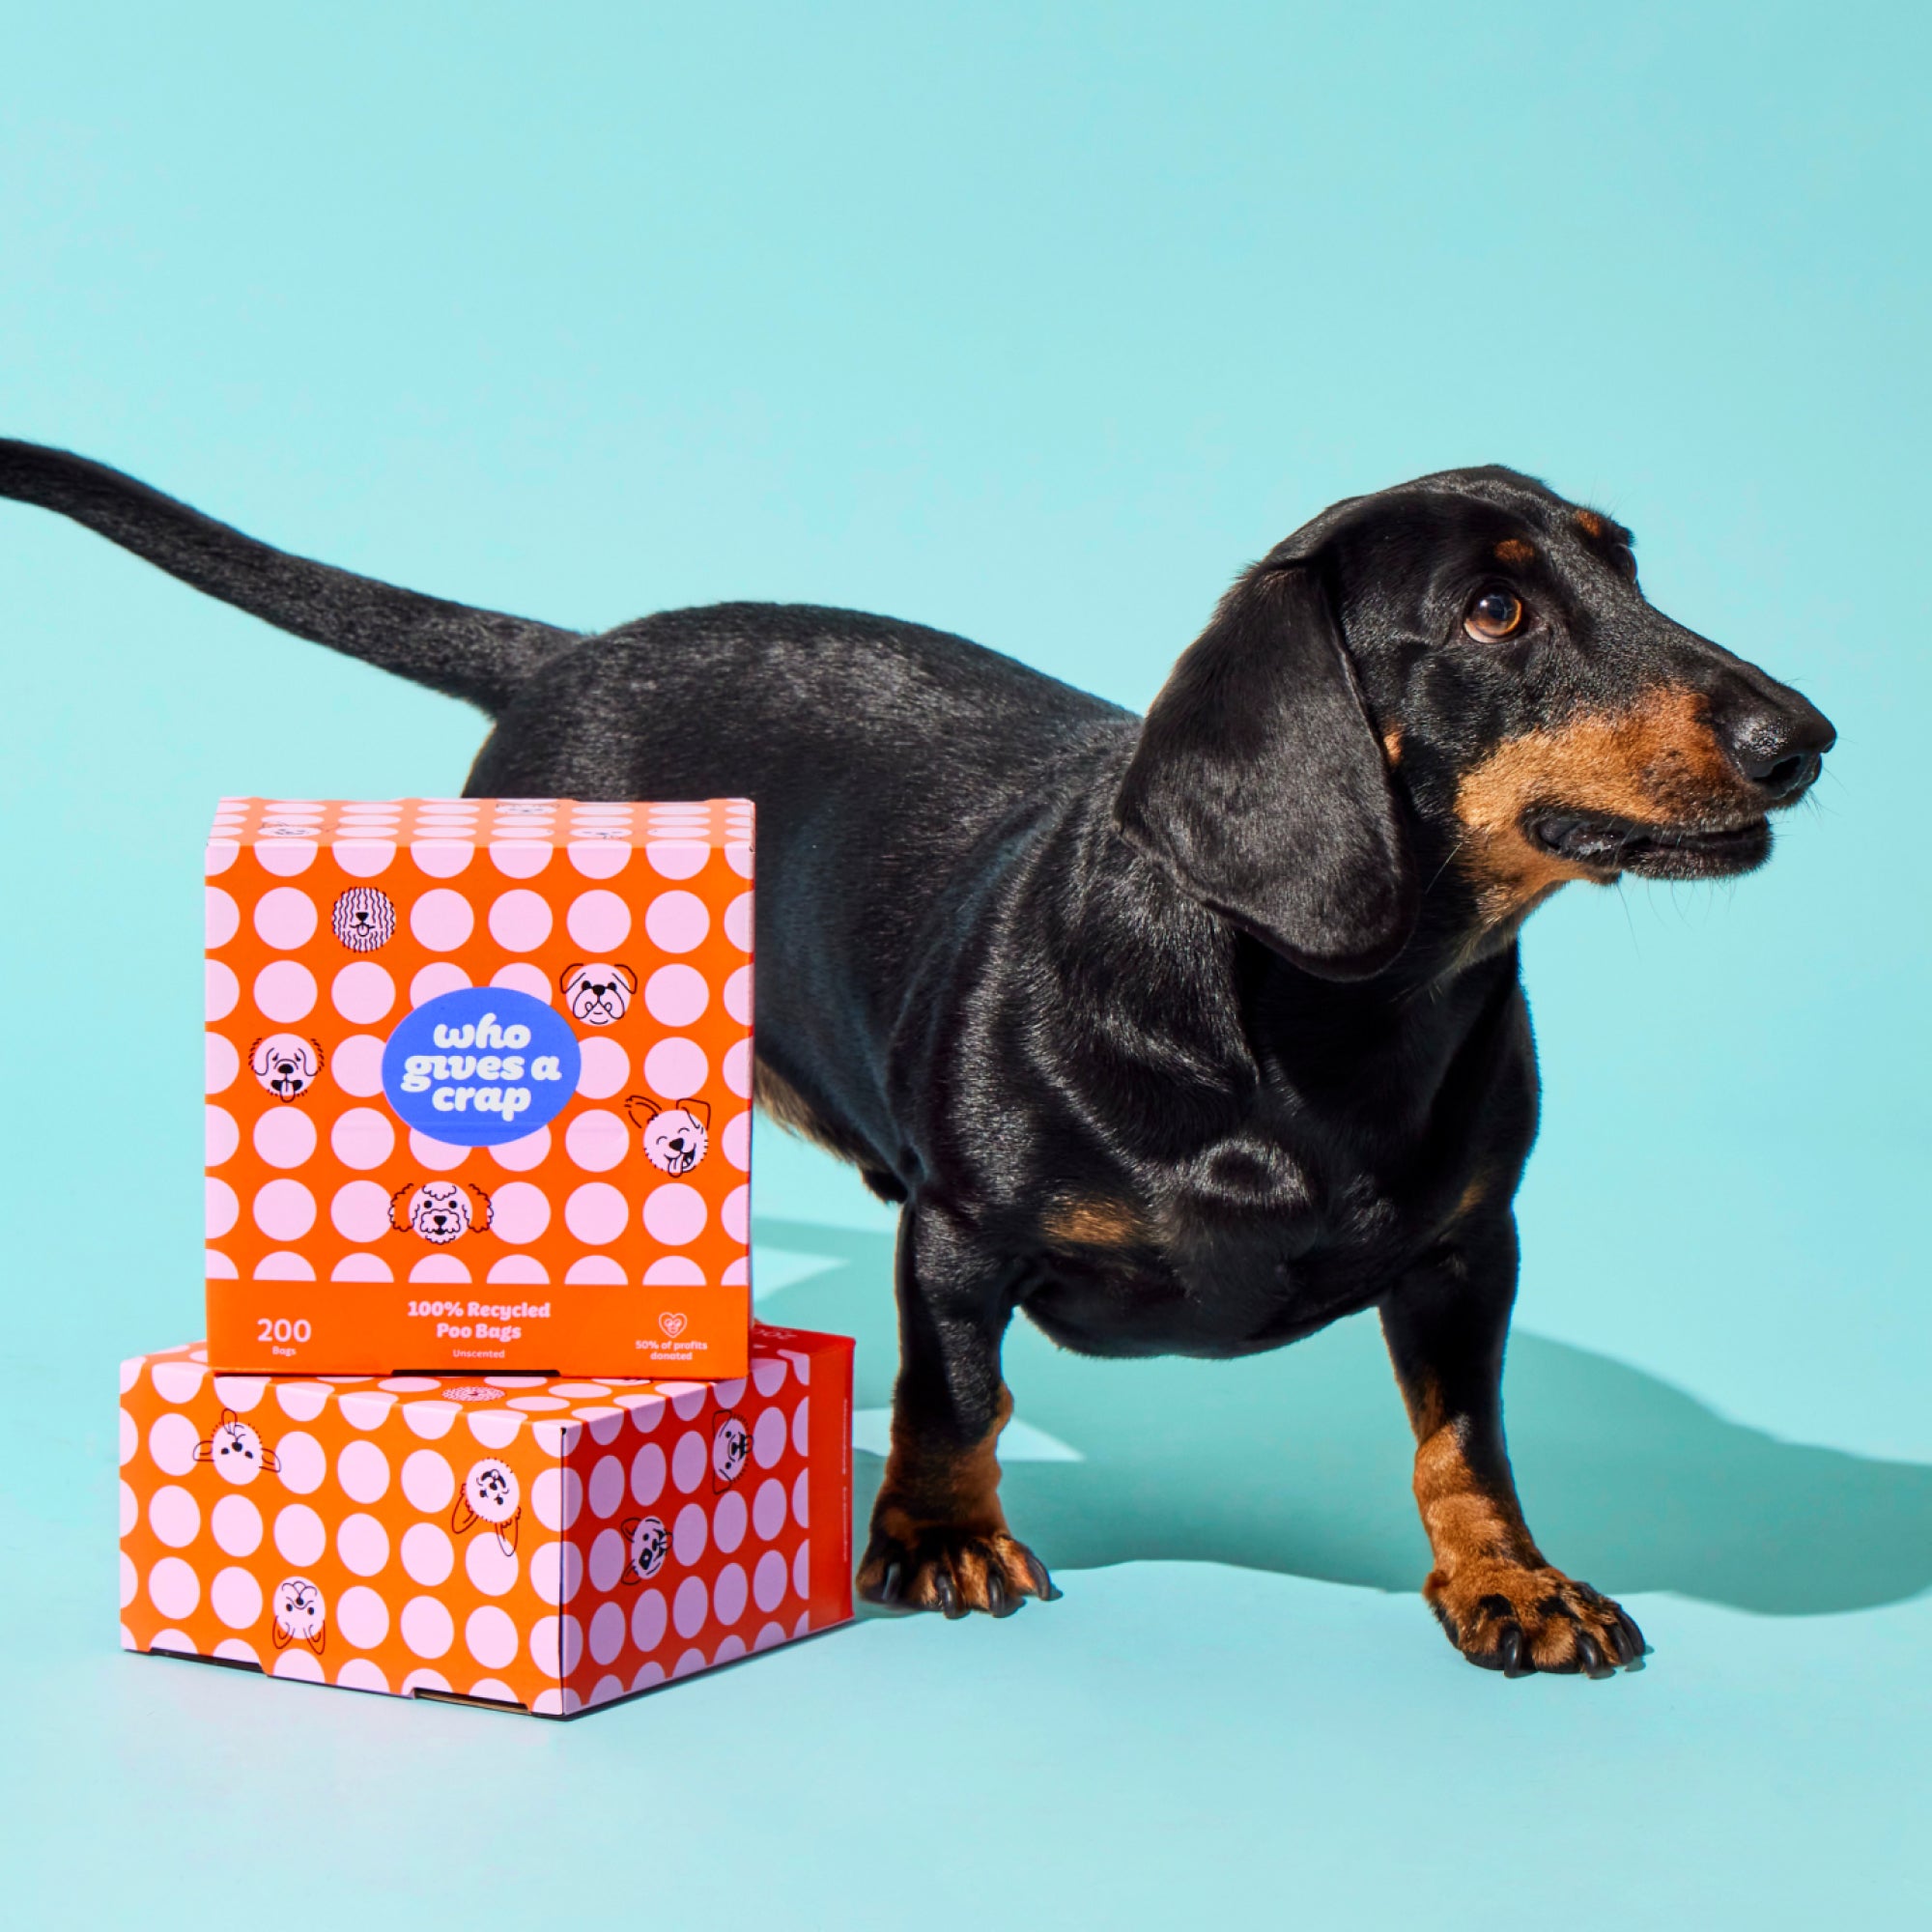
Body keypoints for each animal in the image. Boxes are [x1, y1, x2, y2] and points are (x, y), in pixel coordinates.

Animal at [0, 442, 1839, 1677]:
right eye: (1495, 607)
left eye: (1630, 567)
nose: (1806, 739)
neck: (1312, 1024)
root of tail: (573, 653)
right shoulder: (958, 1233)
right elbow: (947, 1394)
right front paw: (940, 1539)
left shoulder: (1472, 1250)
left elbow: (1466, 1436)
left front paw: (1509, 1579)